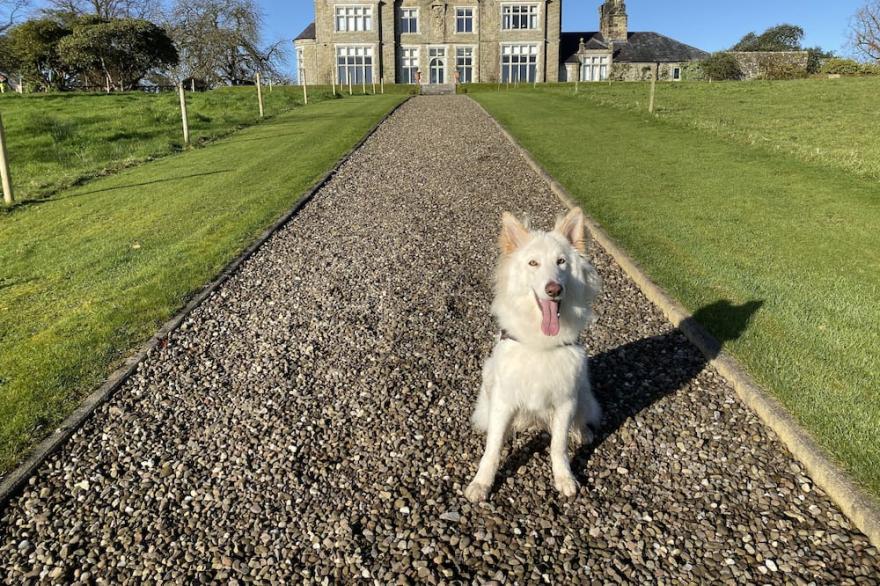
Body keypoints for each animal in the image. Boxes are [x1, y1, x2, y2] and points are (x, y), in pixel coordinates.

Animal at [464, 208, 600, 500]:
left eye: (561, 262)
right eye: (533, 263)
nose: (554, 289)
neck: (541, 344)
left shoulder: (565, 401)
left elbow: (558, 446)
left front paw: (564, 477)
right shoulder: (503, 400)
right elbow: (492, 450)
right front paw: (482, 483)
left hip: (582, 388)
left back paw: (581, 431)